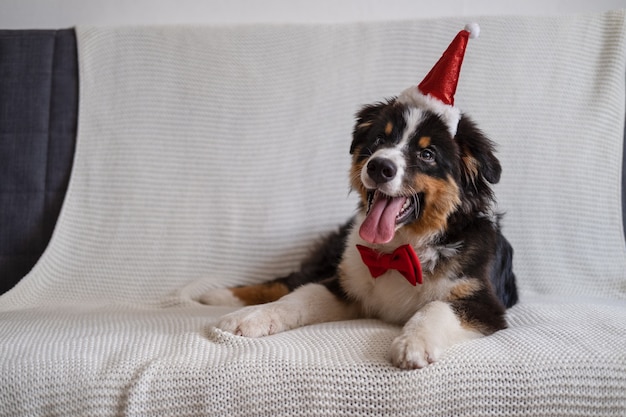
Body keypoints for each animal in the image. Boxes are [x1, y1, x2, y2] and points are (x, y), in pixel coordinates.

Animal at [199, 25, 516, 368]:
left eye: (428, 154)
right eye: (378, 140)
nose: (379, 166)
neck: (400, 250)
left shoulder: (483, 302)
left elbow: (436, 308)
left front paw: (413, 343)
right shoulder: (345, 283)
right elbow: (299, 297)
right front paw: (251, 318)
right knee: (287, 280)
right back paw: (216, 296)